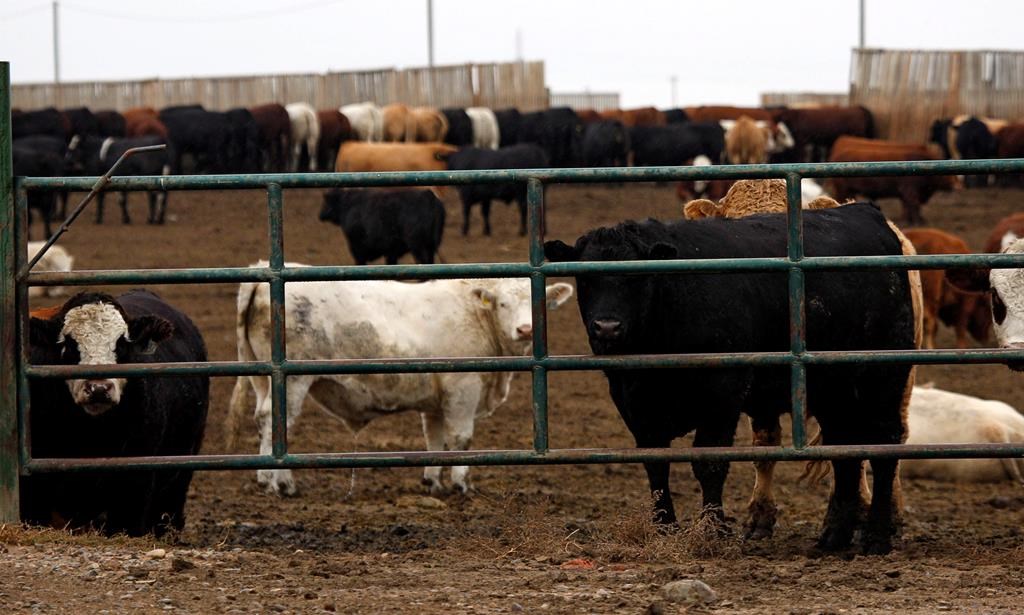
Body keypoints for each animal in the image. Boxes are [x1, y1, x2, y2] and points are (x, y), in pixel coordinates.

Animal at [225, 267, 574, 496]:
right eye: (503, 303)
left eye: (537, 303)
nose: (525, 329)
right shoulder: (463, 386)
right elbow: (460, 438)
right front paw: (462, 484)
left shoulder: (436, 399)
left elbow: (434, 439)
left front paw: (433, 481)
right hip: (292, 381)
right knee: (276, 422)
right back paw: (282, 483)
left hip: (262, 378)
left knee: (261, 419)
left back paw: (264, 477)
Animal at [544, 202, 917, 554]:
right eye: (585, 279)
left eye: (638, 278)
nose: (607, 327)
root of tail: (865, 212)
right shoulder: (634, 401)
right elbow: (656, 464)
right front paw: (664, 528)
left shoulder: (723, 392)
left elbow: (710, 463)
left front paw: (712, 530)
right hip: (834, 391)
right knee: (845, 448)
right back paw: (834, 536)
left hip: (883, 379)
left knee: (884, 445)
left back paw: (877, 537)